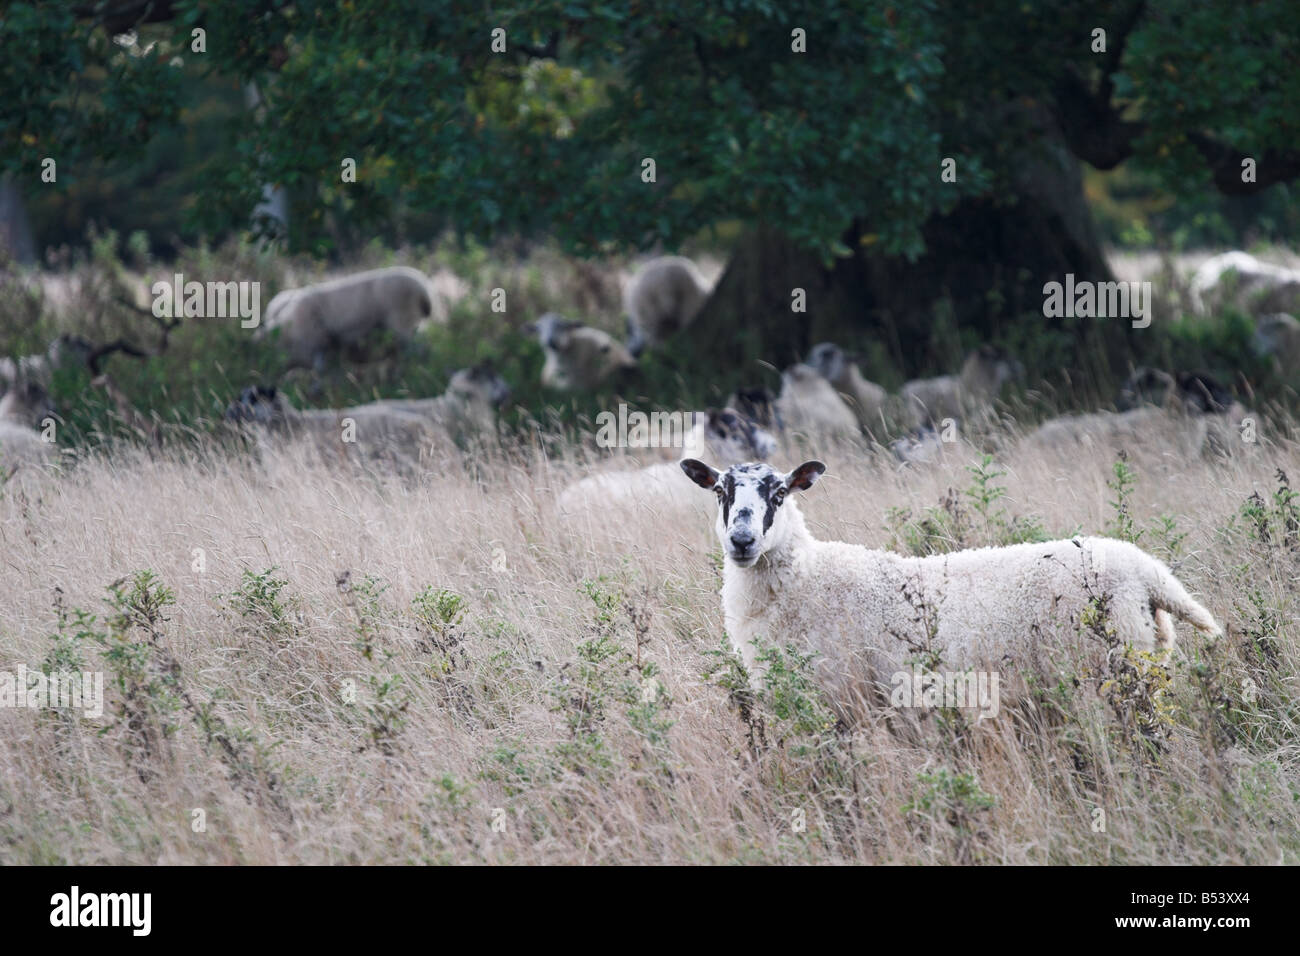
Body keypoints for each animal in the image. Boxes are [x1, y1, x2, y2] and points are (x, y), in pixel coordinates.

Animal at [681, 460, 1216, 707]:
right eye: (720, 491)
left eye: (779, 493)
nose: (742, 540)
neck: (808, 577)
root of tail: (1149, 571)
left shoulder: (843, 698)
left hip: (1114, 673)